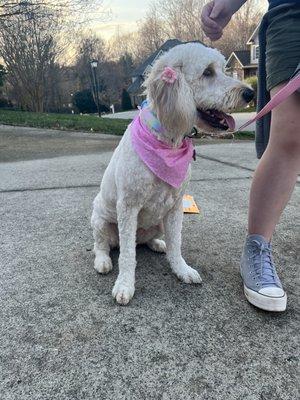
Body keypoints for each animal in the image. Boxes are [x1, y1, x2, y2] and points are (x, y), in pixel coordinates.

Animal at [91, 43, 253, 304]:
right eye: (208, 72)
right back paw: (103, 261)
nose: (250, 93)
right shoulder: (128, 207)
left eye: (223, 69)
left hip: (157, 221)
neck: (166, 141)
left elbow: (176, 243)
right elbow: (127, 255)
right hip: (100, 221)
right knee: (104, 245)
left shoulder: (176, 205)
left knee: (143, 242)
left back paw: (158, 243)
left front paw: (181, 270)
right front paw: (125, 284)